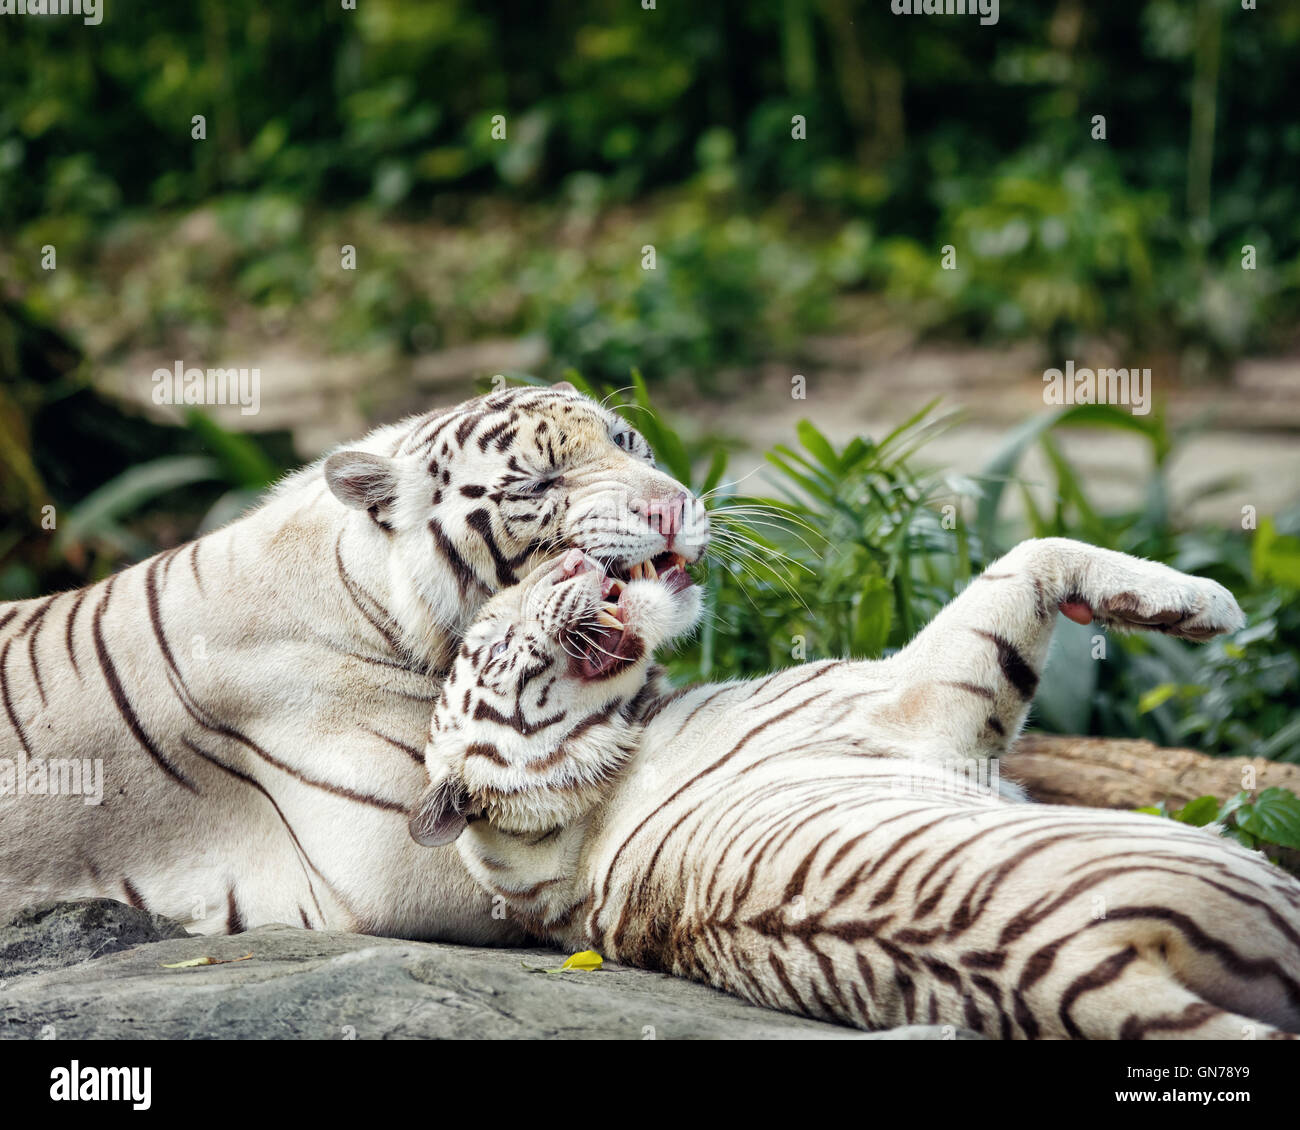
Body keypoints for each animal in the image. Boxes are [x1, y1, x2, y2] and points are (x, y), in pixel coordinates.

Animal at [416, 538, 1300, 1040]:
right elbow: (1029, 554)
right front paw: (1205, 604)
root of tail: (1087, 968)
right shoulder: (919, 692)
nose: (569, 561)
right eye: (494, 639)